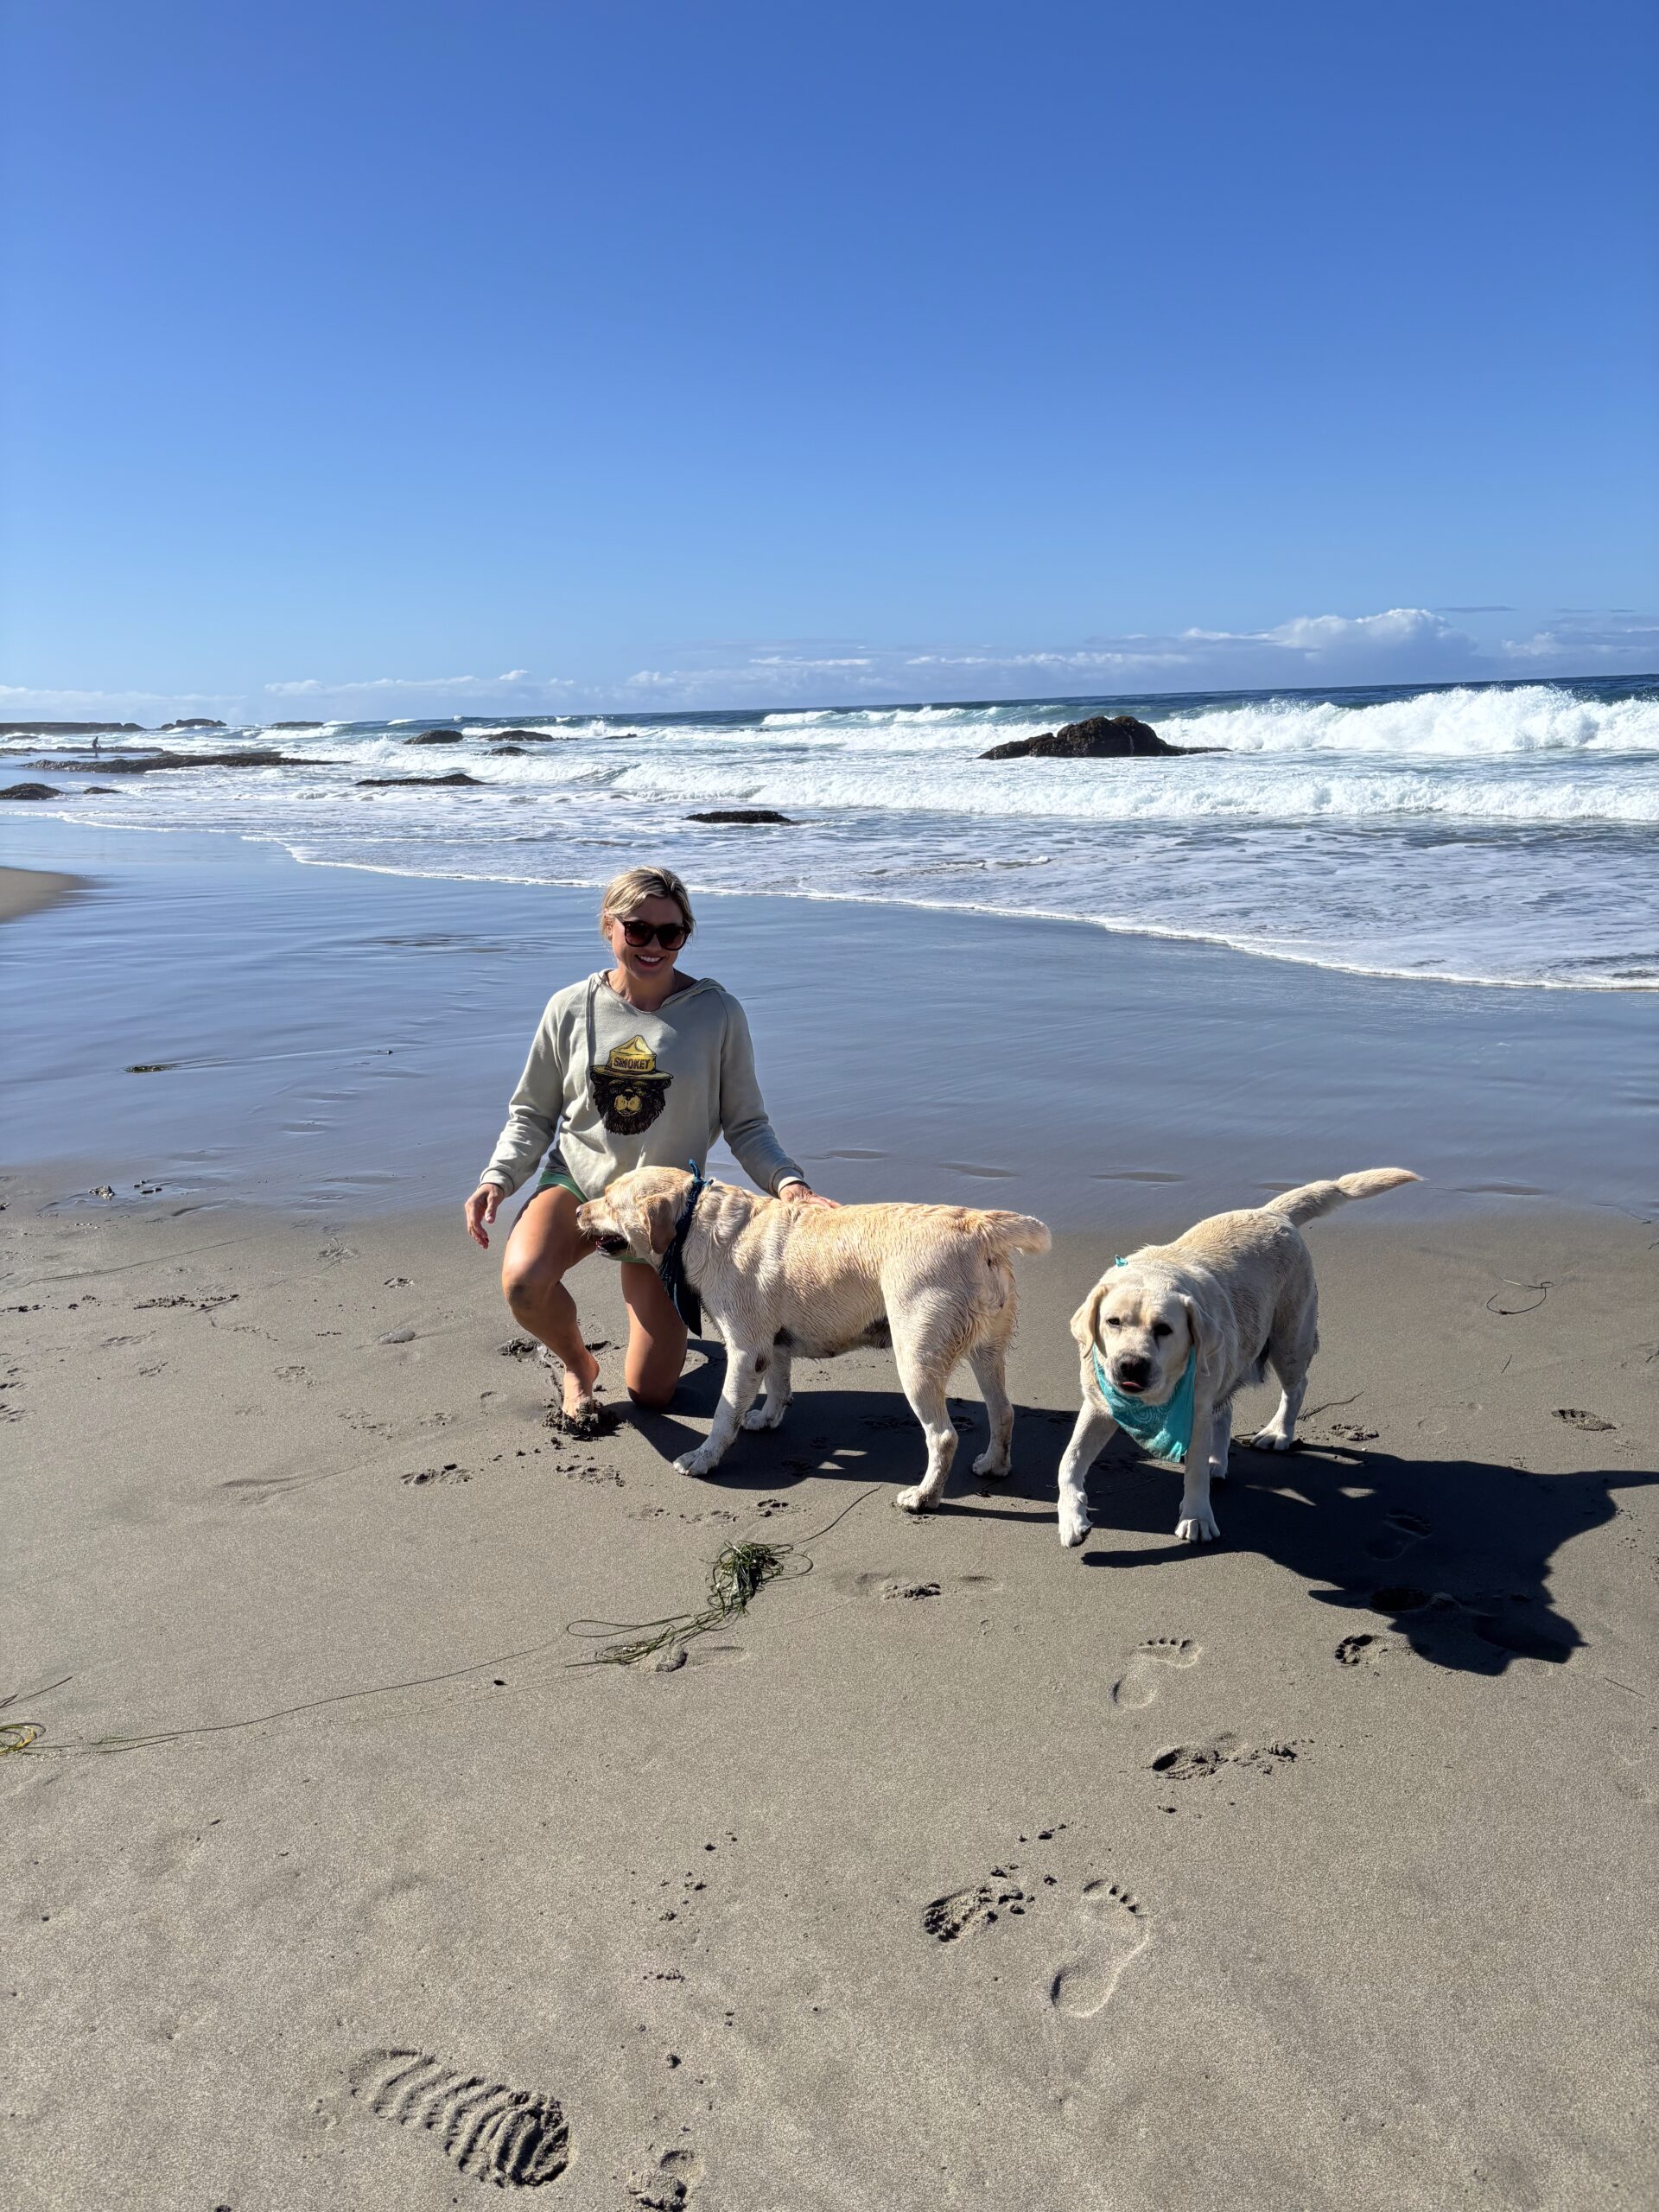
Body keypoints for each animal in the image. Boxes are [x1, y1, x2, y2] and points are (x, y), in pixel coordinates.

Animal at [576, 1166, 1051, 1509]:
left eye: (610, 1199)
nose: (578, 1211)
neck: (694, 1220)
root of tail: (977, 1224)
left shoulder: (744, 1349)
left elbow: (724, 1415)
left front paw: (704, 1458)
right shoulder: (770, 1346)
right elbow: (778, 1385)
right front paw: (767, 1418)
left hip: (916, 1360)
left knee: (944, 1437)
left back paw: (924, 1497)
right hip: (987, 1350)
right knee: (1003, 1412)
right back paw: (994, 1465)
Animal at [1056, 1169, 1419, 1549]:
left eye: (1164, 1329)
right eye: (1113, 1322)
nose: (1130, 1365)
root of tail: (1271, 1211)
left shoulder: (1195, 1408)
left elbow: (1195, 1473)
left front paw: (1196, 1517)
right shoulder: (1099, 1404)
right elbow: (1069, 1462)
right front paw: (1072, 1518)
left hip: (1289, 1339)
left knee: (1296, 1386)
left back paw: (1277, 1433)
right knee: (1225, 1407)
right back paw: (1219, 1461)